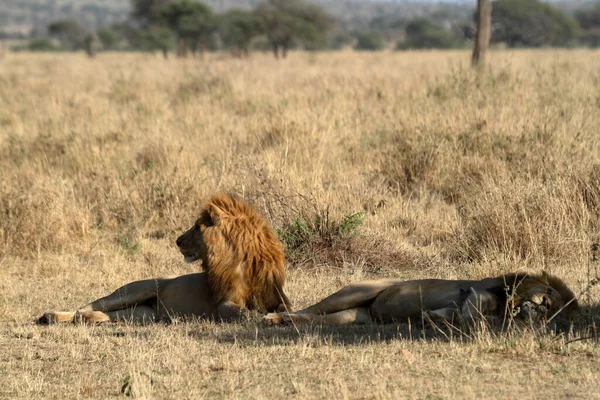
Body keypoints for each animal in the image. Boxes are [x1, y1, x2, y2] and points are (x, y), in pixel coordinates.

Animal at [36, 194, 292, 324]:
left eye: (196, 227)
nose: (177, 240)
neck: (243, 259)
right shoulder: (223, 302)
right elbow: (240, 312)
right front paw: (259, 316)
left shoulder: (276, 295)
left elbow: (284, 307)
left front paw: (274, 315)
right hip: (136, 290)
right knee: (84, 306)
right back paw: (53, 315)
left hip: (142, 313)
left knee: (106, 315)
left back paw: (84, 319)